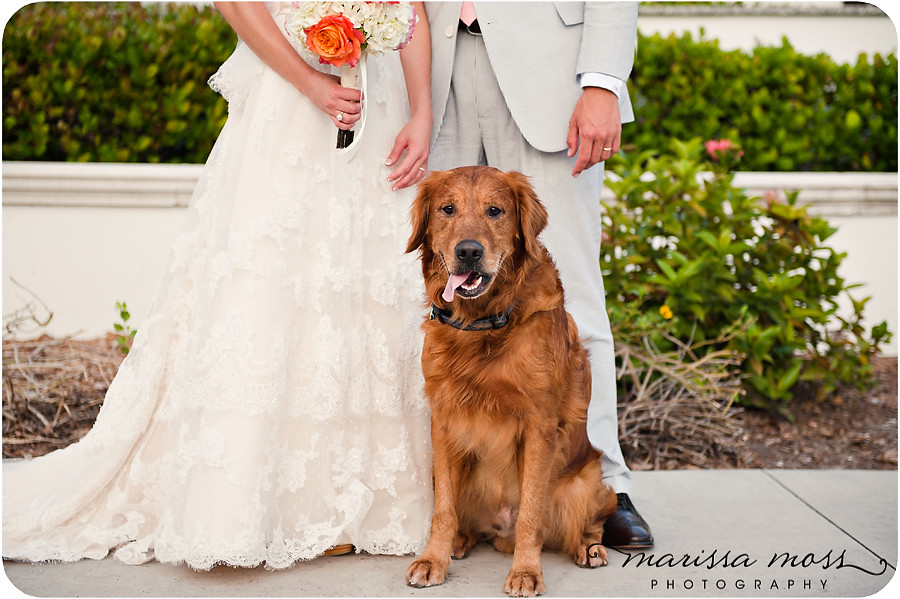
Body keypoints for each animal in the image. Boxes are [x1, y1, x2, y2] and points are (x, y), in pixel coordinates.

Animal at [404, 166, 616, 596]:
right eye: (447, 209)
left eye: (495, 211)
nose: (469, 251)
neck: (482, 323)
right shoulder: (443, 418)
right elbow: (443, 508)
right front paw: (433, 559)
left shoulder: (539, 423)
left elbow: (531, 513)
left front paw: (526, 571)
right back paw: (460, 540)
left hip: (589, 482)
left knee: (587, 523)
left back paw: (588, 549)